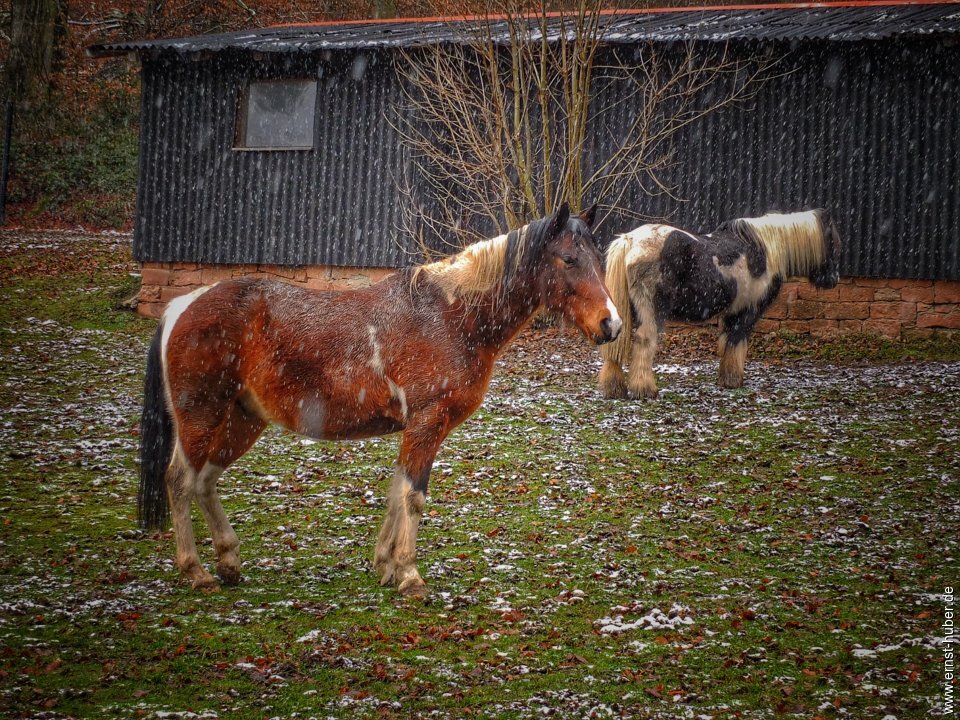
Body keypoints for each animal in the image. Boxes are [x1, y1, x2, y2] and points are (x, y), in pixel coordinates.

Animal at [142, 202, 624, 596]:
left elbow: (397, 492)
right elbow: (413, 496)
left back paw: (228, 562)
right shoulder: (427, 423)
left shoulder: (417, 429)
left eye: (599, 260)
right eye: (568, 259)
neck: (450, 315)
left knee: (205, 481)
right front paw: (409, 575)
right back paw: (196, 571)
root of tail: (184, 305)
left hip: (242, 420)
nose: (611, 324)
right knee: (180, 481)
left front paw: (386, 567)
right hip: (201, 416)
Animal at [600, 208, 840, 400]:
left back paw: (615, 389)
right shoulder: (748, 312)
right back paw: (645, 390)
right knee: (644, 342)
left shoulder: (732, 313)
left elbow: (726, 343)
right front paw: (734, 380)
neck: (764, 250)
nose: (833, 279)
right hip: (650, 313)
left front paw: (725, 378)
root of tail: (630, 240)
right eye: (832, 242)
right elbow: (737, 342)